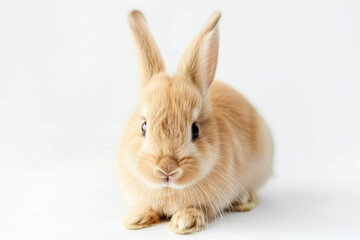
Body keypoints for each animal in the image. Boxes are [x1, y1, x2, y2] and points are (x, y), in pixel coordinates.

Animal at [118, 9, 272, 234]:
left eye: (195, 129)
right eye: (143, 126)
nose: (167, 169)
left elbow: (199, 209)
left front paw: (185, 222)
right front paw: (136, 218)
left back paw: (243, 200)